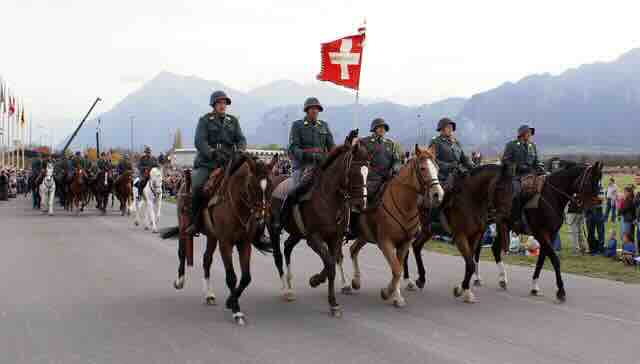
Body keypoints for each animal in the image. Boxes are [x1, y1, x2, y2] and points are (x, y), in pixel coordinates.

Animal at [270, 134, 370, 318]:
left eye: (368, 171)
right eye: (353, 172)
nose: (362, 205)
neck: (329, 198)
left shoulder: (335, 237)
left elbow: (332, 262)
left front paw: (331, 299)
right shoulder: (314, 238)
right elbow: (330, 264)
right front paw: (317, 282)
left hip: (296, 232)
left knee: (287, 247)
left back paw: (290, 286)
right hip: (274, 228)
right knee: (278, 255)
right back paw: (285, 290)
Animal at [344, 145, 444, 308]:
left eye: (437, 168)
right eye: (423, 168)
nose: (438, 195)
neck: (405, 205)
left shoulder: (404, 243)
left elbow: (398, 267)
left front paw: (396, 296)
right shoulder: (385, 242)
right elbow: (396, 269)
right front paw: (387, 292)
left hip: (364, 235)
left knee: (353, 250)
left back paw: (356, 281)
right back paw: (344, 284)